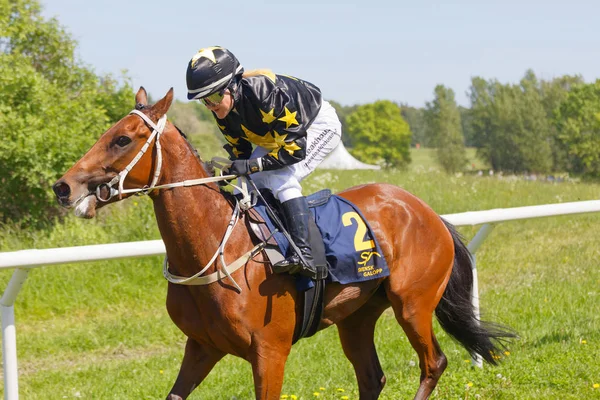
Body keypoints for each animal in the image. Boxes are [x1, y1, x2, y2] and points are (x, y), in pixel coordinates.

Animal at [51, 88, 512, 400]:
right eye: (107, 132)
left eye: (123, 139)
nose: (63, 187)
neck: (217, 249)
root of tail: (428, 212)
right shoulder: (201, 347)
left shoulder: (270, 352)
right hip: (357, 315)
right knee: (371, 376)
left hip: (412, 304)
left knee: (433, 363)